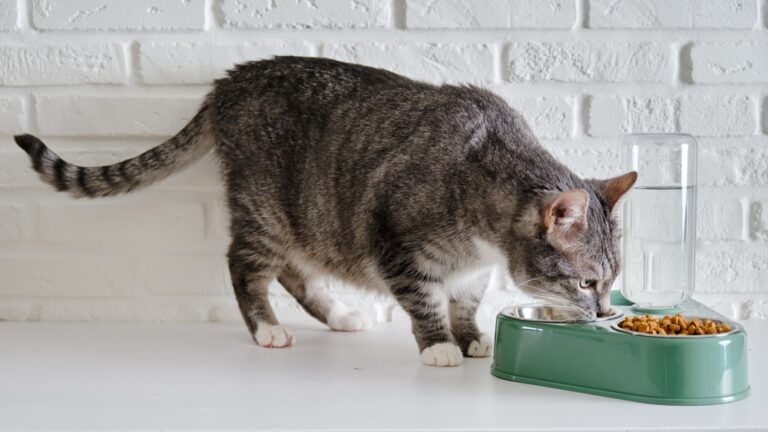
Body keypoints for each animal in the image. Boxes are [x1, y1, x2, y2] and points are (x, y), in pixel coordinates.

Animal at [13, 55, 636, 366]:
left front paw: (470, 335)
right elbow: (424, 299)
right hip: (268, 207)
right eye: (587, 282)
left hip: (306, 221)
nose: (606, 310)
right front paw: (438, 345)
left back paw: (338, 313)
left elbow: (465, 299)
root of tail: (225, 84)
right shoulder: (393, 238)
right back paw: (267, 328)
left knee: (294, 269)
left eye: (610, 282)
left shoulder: (474, 267)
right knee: (246, 265)